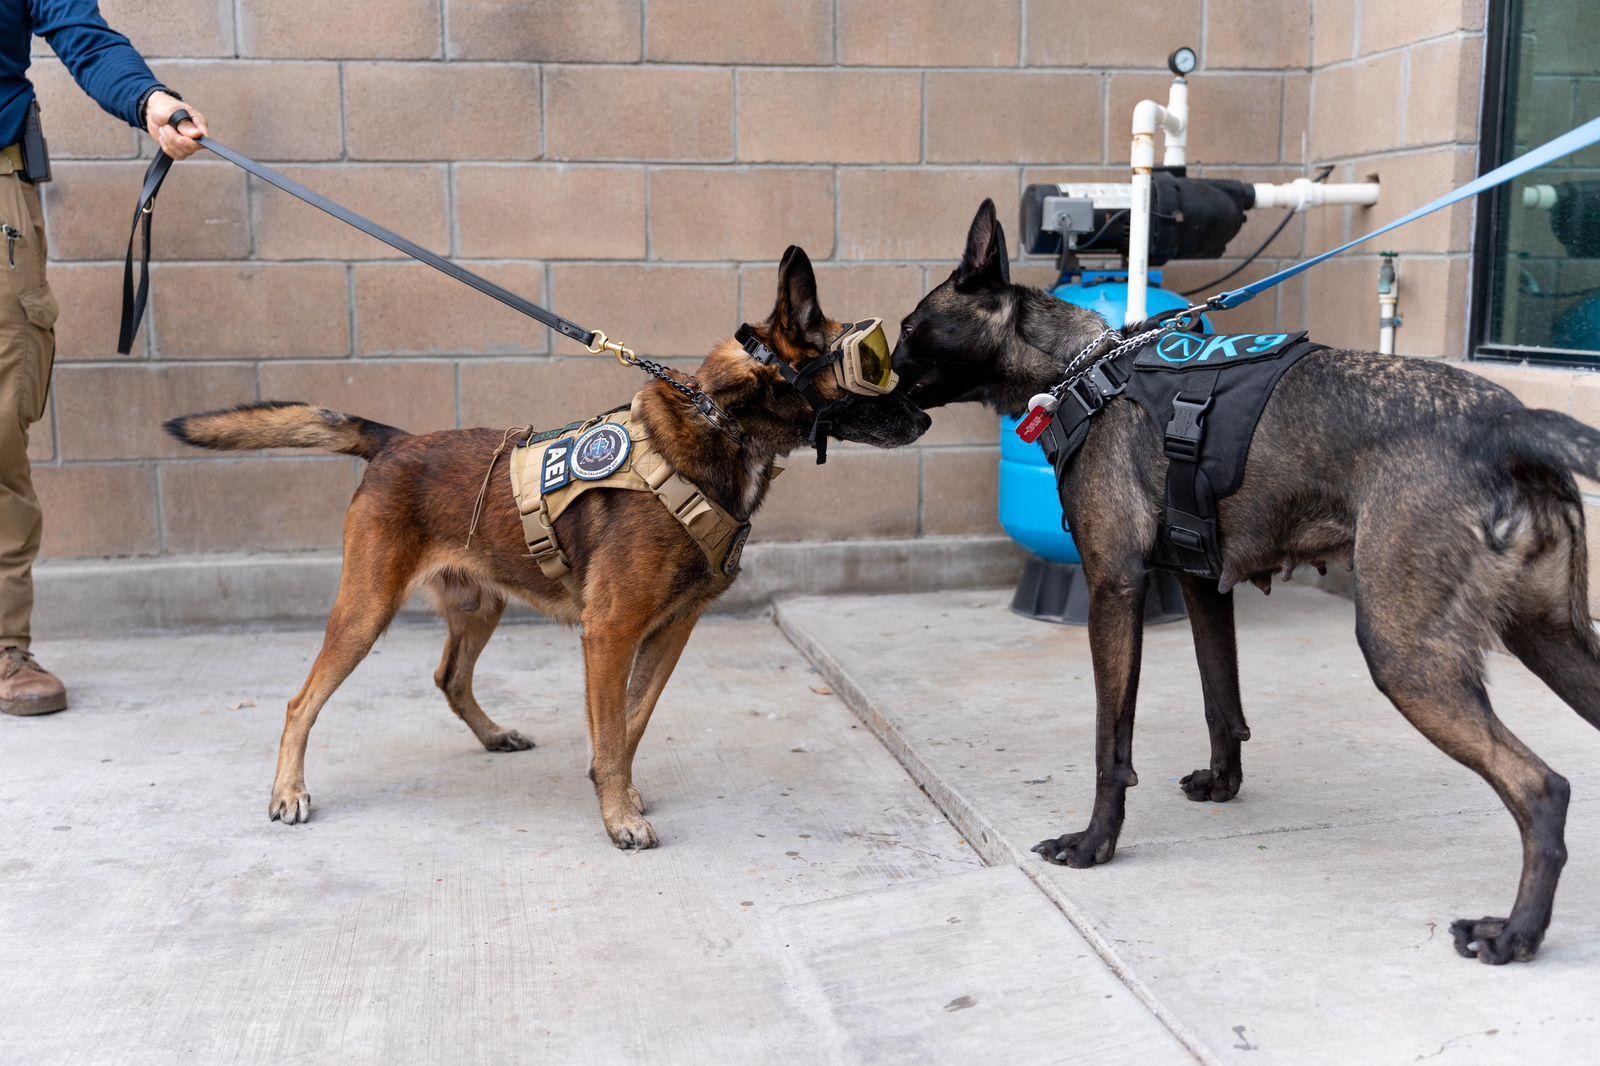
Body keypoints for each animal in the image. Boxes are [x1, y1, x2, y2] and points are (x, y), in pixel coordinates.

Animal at [162, 246, 928, 845]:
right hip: (366, 610)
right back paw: (288, 792)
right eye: (872, 366)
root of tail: (395, 442)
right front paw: (619, 817)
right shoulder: (610, 631)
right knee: (301, 703)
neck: (723, 424)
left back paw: (493, 734)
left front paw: (616, 792)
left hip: (482, 606)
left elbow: (631, 722)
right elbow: (614, 730)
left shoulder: (670, 630)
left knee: (450, 678)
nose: (925, 416)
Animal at [896, 199, 1600, 960]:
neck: (1084, 371)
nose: (868, 373)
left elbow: (1111, 742)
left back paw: (1517, 933)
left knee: (1541, 788)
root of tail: (1511, 423)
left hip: (1406, 656)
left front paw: (1095, 843)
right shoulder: (1205, 586)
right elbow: (1220, 699)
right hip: (1551, 639)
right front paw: (1223, 783)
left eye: (906, 331)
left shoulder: (1114, 589)